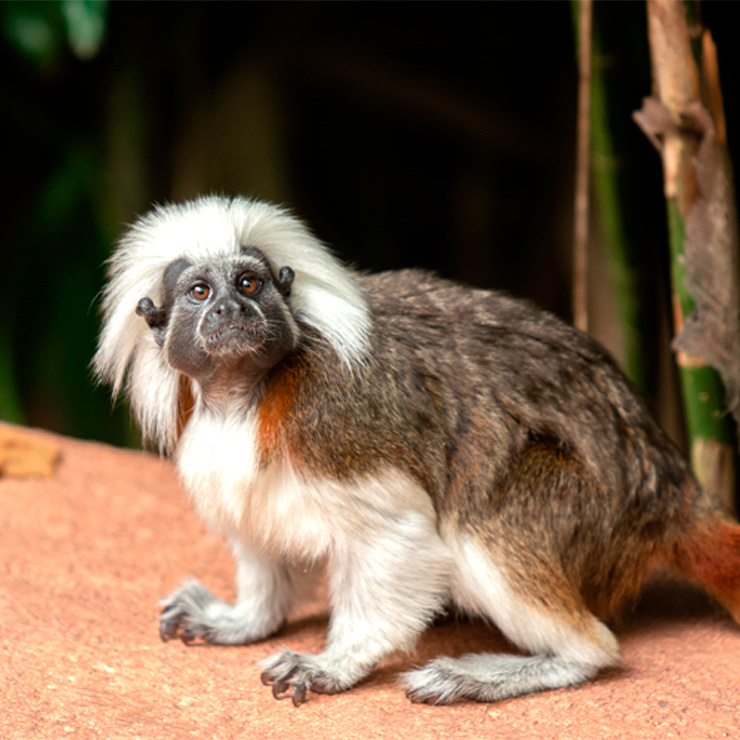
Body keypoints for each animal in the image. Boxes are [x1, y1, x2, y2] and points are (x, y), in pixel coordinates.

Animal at [94, 194, 740, 707]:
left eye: (249, 283)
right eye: (199, 292)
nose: (232, 310)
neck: (245, 397)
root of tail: (668, 487)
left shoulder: (336, 422)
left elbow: (402, 534)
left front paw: (334, 664)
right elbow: (257, 538)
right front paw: (243, 620)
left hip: (588, 510)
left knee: (488, 527)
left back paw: (517, 667)